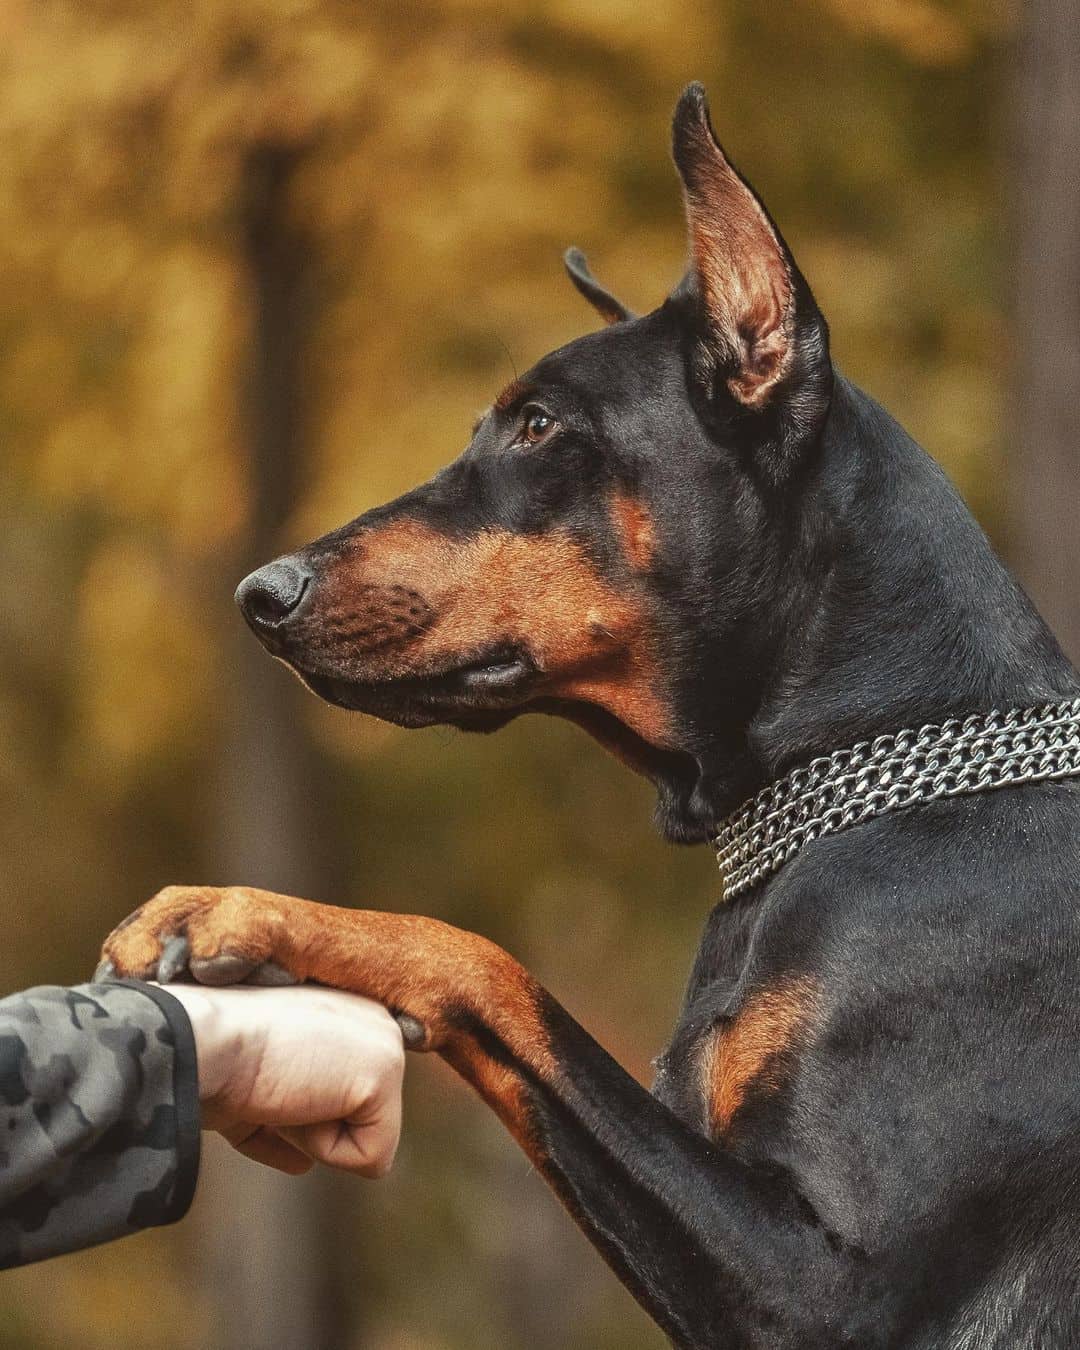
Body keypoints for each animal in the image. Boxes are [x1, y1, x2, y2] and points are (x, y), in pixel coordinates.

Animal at [99, 89, 1080, 1344]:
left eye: (537, 425)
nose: (260, 595)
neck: (868, 779)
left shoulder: (825, 1289)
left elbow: (489, 962)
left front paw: (245, 912)